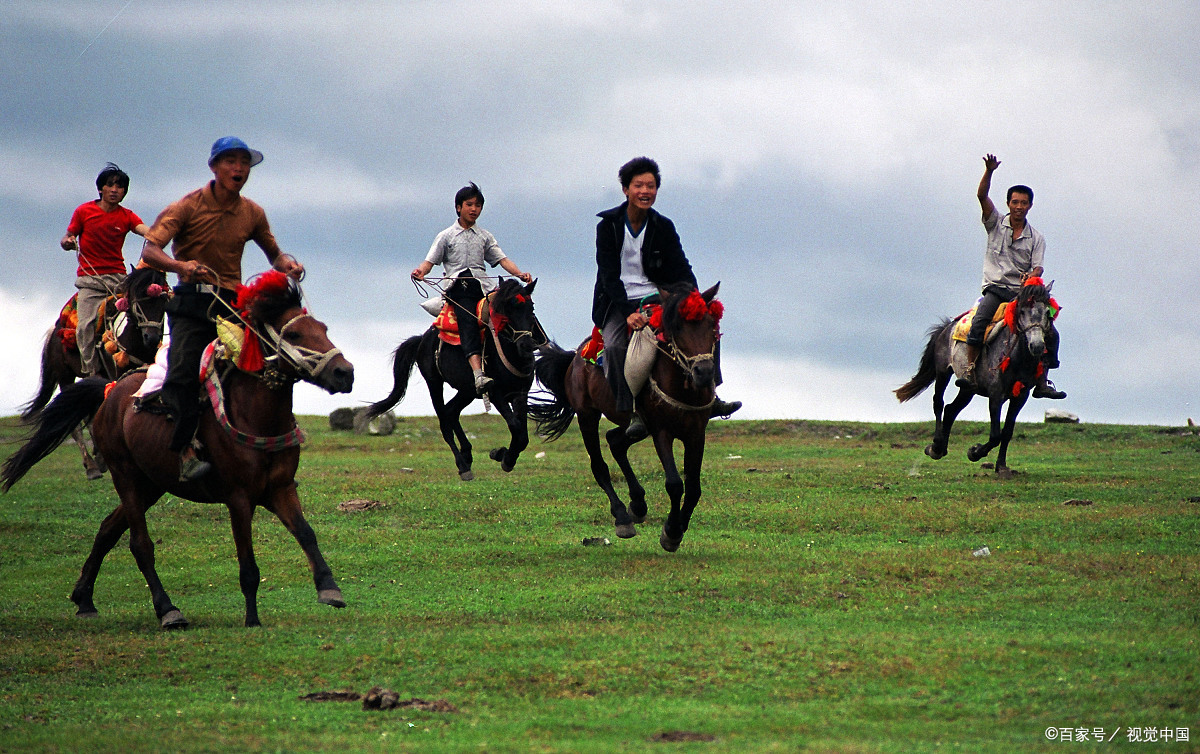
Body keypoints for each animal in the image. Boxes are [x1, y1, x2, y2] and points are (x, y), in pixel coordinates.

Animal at [20, 265, 169, 477]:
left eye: (162, 300)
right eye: (136, 299)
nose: (151, 337)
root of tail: (55, 330)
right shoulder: (116, 375)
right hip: (66, 377)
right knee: (77, 422)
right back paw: (91, 466)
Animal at [364, 278, 544, 482]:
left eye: (531, 307)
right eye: (505, 309)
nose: (526, 345)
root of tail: (422, 339)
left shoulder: (520, 394)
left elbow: (522, 435)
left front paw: (503, 455)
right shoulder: (495, 393)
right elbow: (515, 426)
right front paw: (504, 457)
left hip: (467, 390)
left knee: (451, 411)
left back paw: (467, 453)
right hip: (434, 384)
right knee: (444, 422)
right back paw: (463, 466)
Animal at [528, 283, 715, 554]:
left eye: (711, 325)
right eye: (677, 328)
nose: (704, 372)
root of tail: (576, 356)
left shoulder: (696, 433)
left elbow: (693, 488)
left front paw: (679, 527)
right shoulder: (662, 431)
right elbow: (674, 483)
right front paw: (671, 531)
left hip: (634, 426)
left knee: (616, 440)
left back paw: (638, 503)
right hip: (587, 416)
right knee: (599, 466)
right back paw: (623, 517)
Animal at [892, 277, 1060, 477]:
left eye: (1047, 313)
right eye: (1022, 311)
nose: (1037, 345)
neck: (1017, 356)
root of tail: (946, 327)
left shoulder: (1020, 396)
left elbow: (1007, 432)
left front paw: (1001, 466)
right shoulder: (995, 394)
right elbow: (995, 435)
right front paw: (974, 452)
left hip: (968, 389)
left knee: (951, 409)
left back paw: (941, 448)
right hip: (943, 372)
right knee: (939, 403)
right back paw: (935, 447)